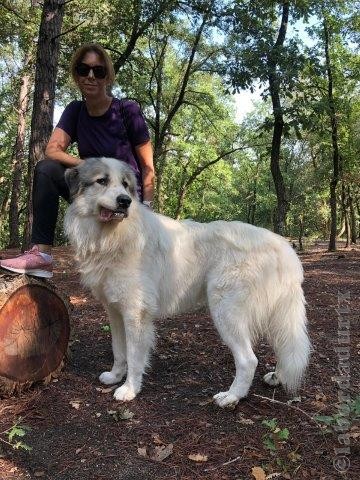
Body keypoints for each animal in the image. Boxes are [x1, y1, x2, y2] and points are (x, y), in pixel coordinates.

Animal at [64, 158, 310, 408]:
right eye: (102, 181)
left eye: (125, 185)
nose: (125, 201)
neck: (112, 237)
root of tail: (282, 245)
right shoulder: (115, 311)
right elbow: (119, 350)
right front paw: (115, 376)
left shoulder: (135, 314)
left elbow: (133, 356)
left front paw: (129, 389)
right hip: (274, 315)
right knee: (282, 345)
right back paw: (277, 377)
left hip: (226, 311)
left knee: (248, 360)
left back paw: (231, 396)